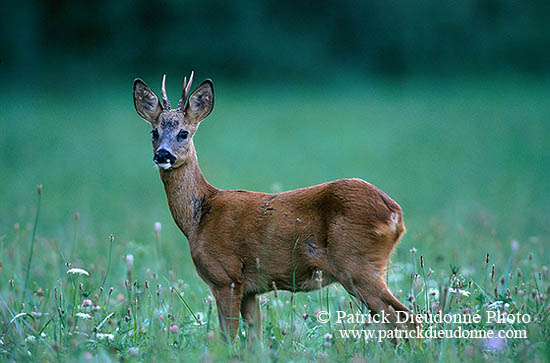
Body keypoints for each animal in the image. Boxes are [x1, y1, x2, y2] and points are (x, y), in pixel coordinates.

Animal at [134, 72, 416, 342]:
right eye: (154, 133)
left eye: (183, 133)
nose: (162, 154)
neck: (199, 216)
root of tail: (395, 214)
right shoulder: (250, 288)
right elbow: (255, 339)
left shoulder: (226, 276)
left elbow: (227, 338)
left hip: (357, 265)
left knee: (406, 318)